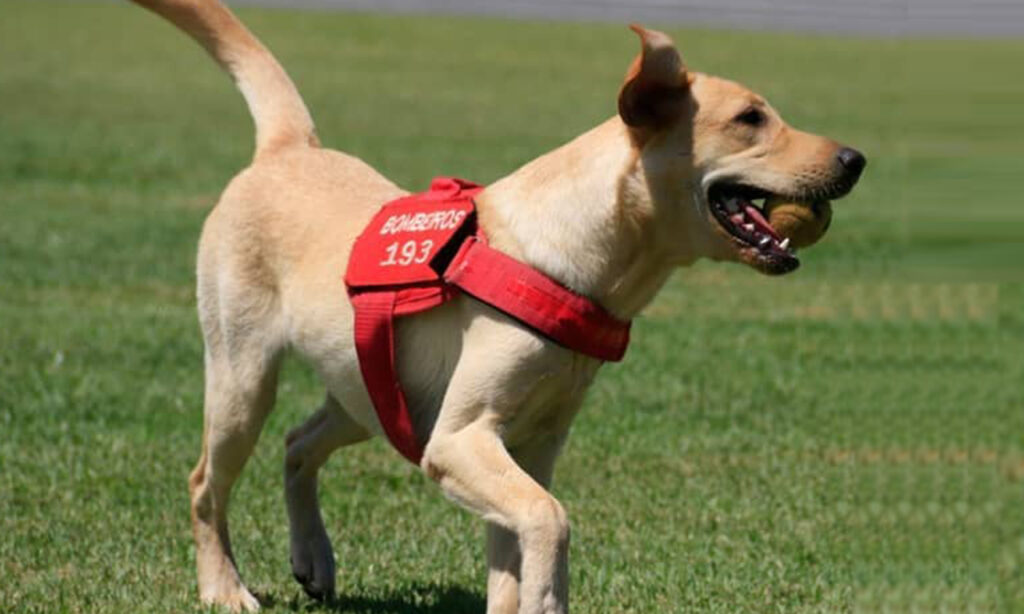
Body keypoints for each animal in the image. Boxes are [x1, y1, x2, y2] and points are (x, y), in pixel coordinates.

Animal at [128, 0, 864, 609]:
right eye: (749, 119)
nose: (856, 159)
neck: (575, 256)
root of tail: (287, 148)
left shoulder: (530, 445)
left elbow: (515, 555)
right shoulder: (462, 439)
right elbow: (550, 520)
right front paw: (548, 594)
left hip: (368, 393)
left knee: (298, 443)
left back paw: (313, 559)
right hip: (244, 376)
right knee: (205, 482)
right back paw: (224, 590)